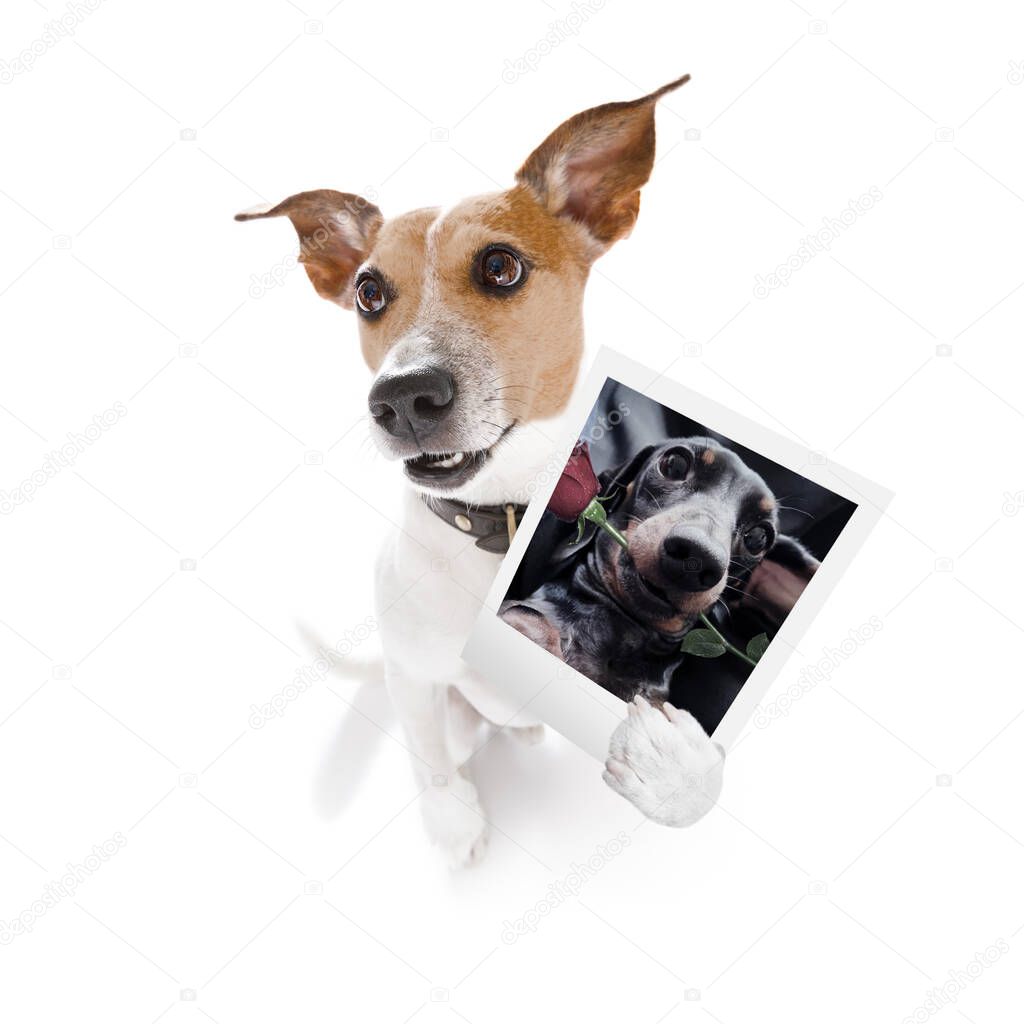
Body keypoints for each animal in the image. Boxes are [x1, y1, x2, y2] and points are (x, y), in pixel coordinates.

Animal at [236, 74, 724, 864]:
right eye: (369, 292)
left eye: (500, 266)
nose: (401, 398)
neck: (496, 524)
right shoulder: (415, 678)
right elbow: (429, 754)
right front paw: (452, 821)